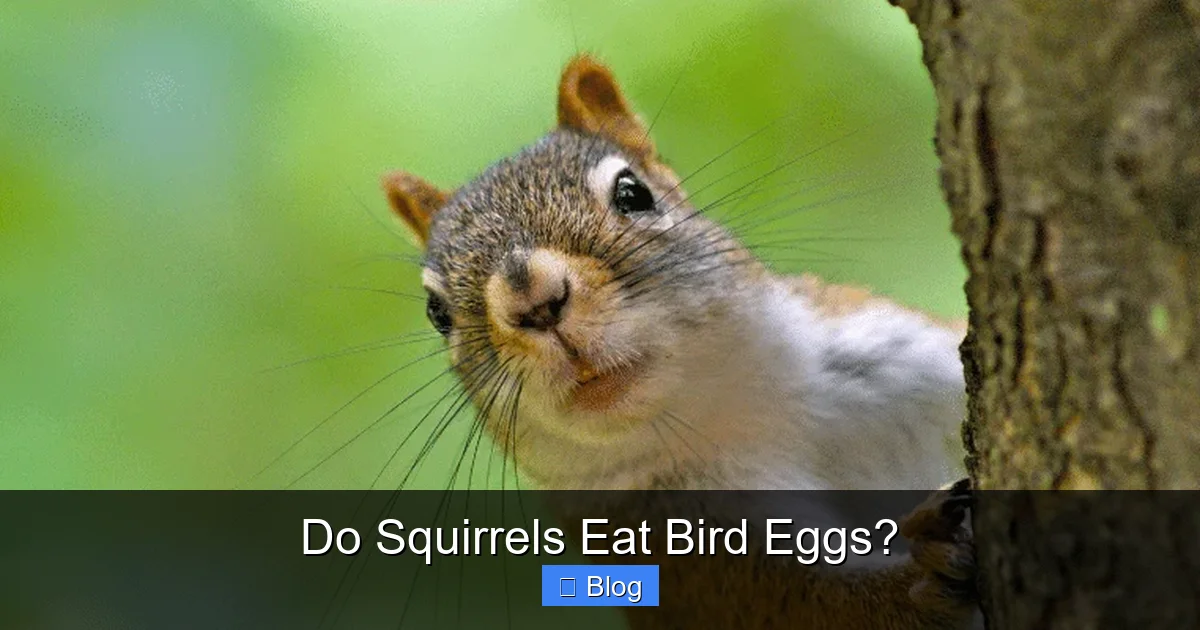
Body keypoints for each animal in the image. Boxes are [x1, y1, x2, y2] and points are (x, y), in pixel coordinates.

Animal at [381, 56, 976, 629]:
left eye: (632, 192)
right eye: (437, 312)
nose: (534, 301)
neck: (735, 413)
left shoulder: (904, 355)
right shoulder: (687, 554)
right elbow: (815, 607)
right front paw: (921, 576)